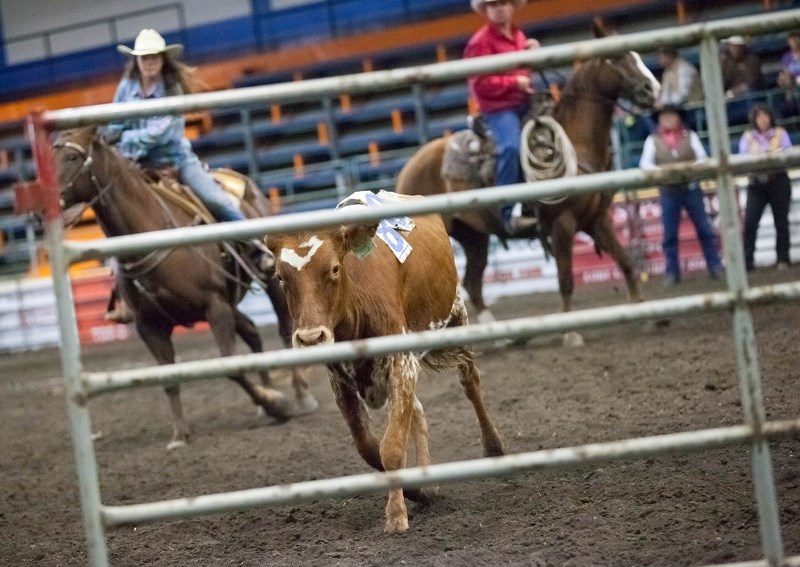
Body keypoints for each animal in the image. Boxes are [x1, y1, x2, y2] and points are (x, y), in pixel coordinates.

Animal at [51, 126, 320, 450]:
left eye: (72, 156)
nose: (46, 207)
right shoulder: (149, 325)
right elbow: (169, 379)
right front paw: (180, 434)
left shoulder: (215, 307)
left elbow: (231, 366)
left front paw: (276, 405)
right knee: (253, 333)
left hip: (271, 282)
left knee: (282, 330)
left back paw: (302, 397)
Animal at [268, 193, 506, 536]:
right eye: (280, 277)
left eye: (335, 268)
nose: (311, 338)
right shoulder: (341, 382)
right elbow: (370, 449)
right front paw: (416, 492)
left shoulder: (401, 363)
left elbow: (391, 449)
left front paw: (396, 515)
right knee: (417, 410)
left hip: (456, 317)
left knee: (470, 385)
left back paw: (493, 447)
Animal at [396, 17, 660, 346]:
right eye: (617, 57)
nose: (652, 88)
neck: (576, 142)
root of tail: (408, 167)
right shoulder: (562, 224)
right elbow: (565, 279)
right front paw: (570, 331)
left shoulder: (599, 219)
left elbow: (626, 262)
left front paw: (645, 314)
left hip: (474, 237)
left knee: (472, 283)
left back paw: (500, 336)